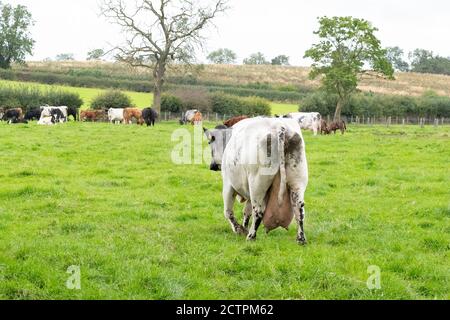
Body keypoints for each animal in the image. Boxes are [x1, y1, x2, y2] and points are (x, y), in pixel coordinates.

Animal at [205, 116, 308, 244]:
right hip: (297, 183)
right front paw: (244, 227)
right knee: (299, 210)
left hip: (257, 185)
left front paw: (239, 229)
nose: (212, 166)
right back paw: (301, 239)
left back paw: (251, 236)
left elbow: (228, 212)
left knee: (258, 211)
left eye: (209, 142)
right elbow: (246, 211)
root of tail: (279, 126)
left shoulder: (228, 184)